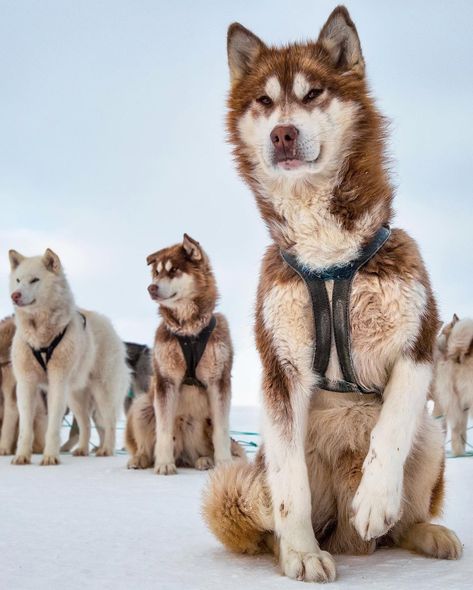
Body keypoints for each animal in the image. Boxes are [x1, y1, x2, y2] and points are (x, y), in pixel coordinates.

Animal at [9, 247, 130, 464]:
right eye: (18, 280)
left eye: (34, 280)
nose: (15, 295)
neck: (40, 335)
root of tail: (109, 325)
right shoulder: (26, 383)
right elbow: (25, 428)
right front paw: (22, 456)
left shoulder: (57, 383)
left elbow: (52, 427)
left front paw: (50, 457)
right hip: (75, 396)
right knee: (85, 424)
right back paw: (82, 449)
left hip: (102, 393)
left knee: (109, 422)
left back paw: (106, 450)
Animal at [124, 234, 243, 474]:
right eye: (156, 272)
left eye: (174, 270)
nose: (151, 288)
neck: (189, 331)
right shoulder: (165, 380)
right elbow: (163, 429)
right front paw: (163, 463)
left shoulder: (219, 380)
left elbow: (222, 430)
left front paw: (224, 463)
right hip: (142, 405)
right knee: (145, 444)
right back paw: (141, 459)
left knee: (202, 448)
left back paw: (205, 460)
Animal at [201, 5, 460, 588]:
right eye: (265, 101)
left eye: (313, 93)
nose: (283, 134)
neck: (329, 259)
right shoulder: (281, 370)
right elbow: (288, 484)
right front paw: (299, 552)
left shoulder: (418, 344)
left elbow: (391, 427)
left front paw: (376, 499)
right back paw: (293, 545)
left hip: (432, 438)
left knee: (402, 522)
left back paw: (425, 533)